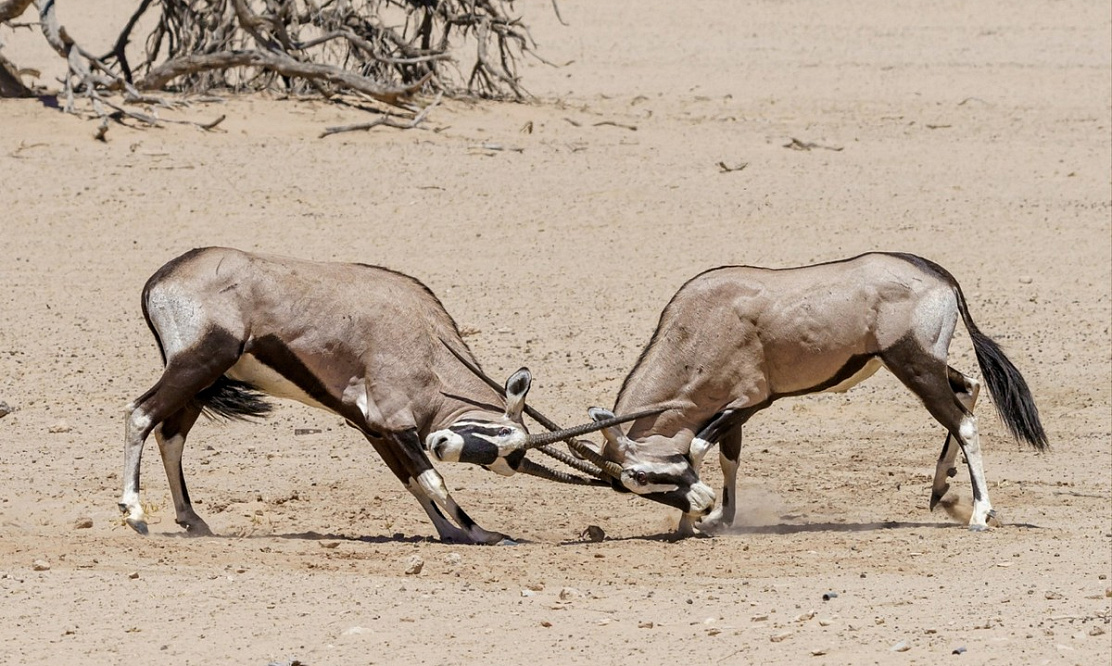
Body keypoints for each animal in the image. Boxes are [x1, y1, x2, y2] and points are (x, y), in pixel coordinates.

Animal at [120, 247, 644, 544]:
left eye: (503, 459)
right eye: (500, 434)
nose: (442, 443)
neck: (427, 342)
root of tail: (162, 277)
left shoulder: (375, 428)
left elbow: (412, 481)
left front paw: (456, 533)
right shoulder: (398, 424)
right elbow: (433, 479)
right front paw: (481, 532)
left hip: (202, 378)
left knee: (171, 434)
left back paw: (192, 521)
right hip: (199, 363)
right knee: (140, 415)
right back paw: (135, 514)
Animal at [447, 252, 1045, 540]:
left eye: (642, 477)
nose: (696, 504)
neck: (701, 323)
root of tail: (938, 275)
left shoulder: (752, 400)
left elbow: (698, 448)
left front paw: (704, 519)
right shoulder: (734, 411)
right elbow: (729, 456)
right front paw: (712, 518)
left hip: (913, 364)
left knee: (963, 421)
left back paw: (979, 512)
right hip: (924, 365)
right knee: (967, 392)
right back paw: (943, 493)